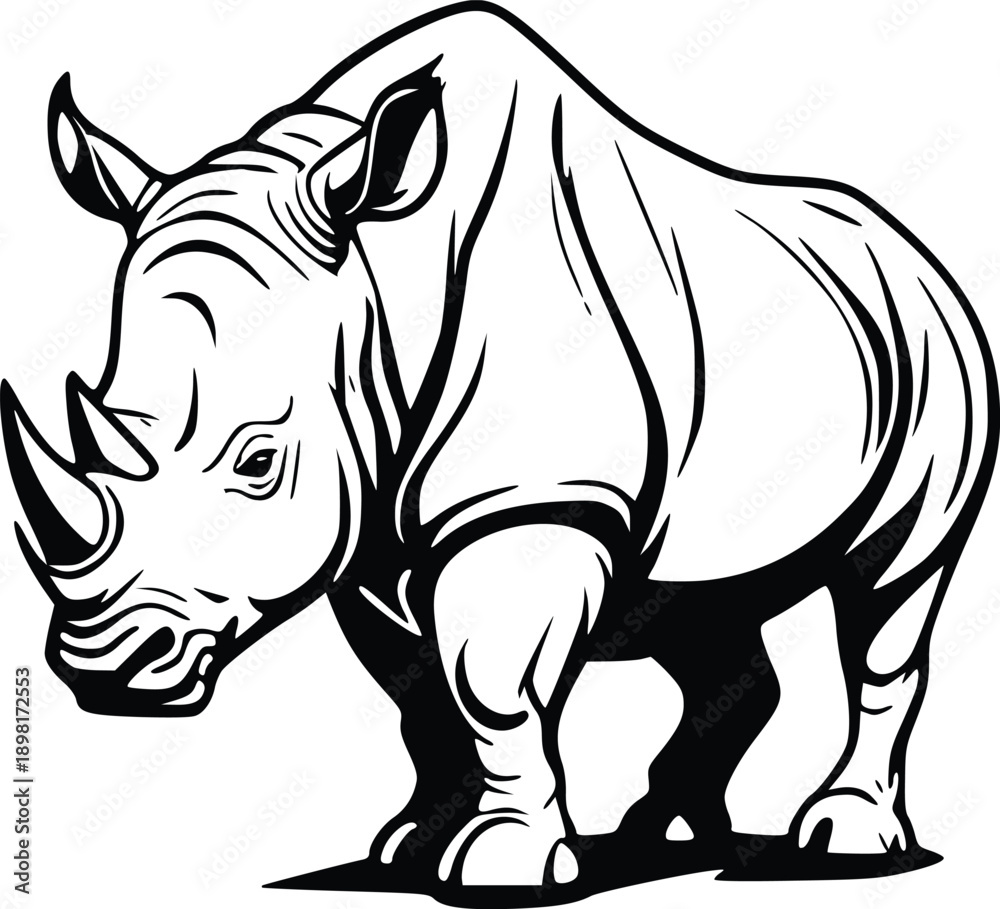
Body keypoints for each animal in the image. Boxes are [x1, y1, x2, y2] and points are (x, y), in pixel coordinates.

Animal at [3, 2, 996, 902]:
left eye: (258, 461)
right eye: (97, 414)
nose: (102, 670)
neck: (381, 275)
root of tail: (922, 253)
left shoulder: (537, 496)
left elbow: (490, 683)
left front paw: (502, 866)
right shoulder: (366, 521)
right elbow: (416, 689)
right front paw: (408, 845)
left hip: (940, 355)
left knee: (888, 589)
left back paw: (839, 843)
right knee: (703, 611)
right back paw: (656, 829)